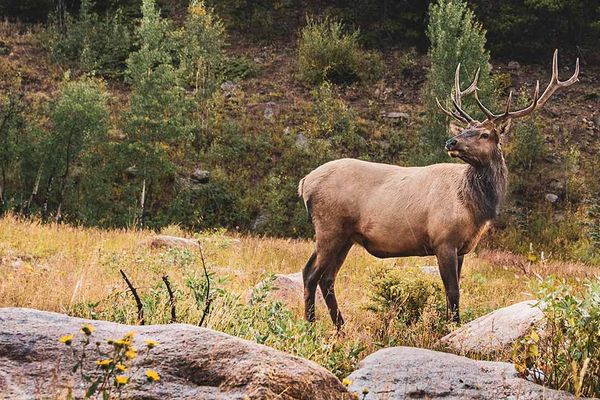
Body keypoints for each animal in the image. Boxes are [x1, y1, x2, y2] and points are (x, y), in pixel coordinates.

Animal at [302, 50, 580, 328]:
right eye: (466, 129)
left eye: (484, 134)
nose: (451, 141)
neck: (474, 208)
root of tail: (305, 183)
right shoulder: (443, 240)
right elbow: (453, 292)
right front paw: (452, 328)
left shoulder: (462, 248)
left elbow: (452, 293)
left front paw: (449, 325)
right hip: (330, 227)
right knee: (311, 274)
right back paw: (311, 326)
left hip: (346, 237)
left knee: (326, 278)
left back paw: (340, 327)